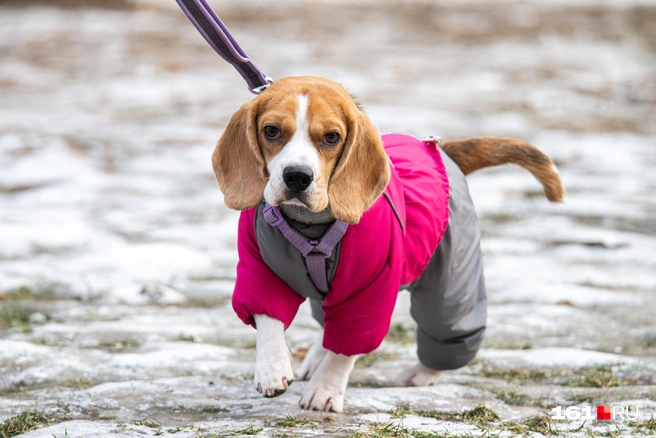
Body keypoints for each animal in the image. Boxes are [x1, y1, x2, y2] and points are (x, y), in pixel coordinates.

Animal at [214, 75, 564, 410]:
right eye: (271, 131)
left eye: (331, 137)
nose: (297, 176)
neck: (312, 226)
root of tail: (440, 150)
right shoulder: (260, 268)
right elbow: (268, 318)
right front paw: (272, 368)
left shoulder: (370, 290)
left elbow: (348, 346)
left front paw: (325, 390)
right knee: (328, 323)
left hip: (450, 282)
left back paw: (420, 374)